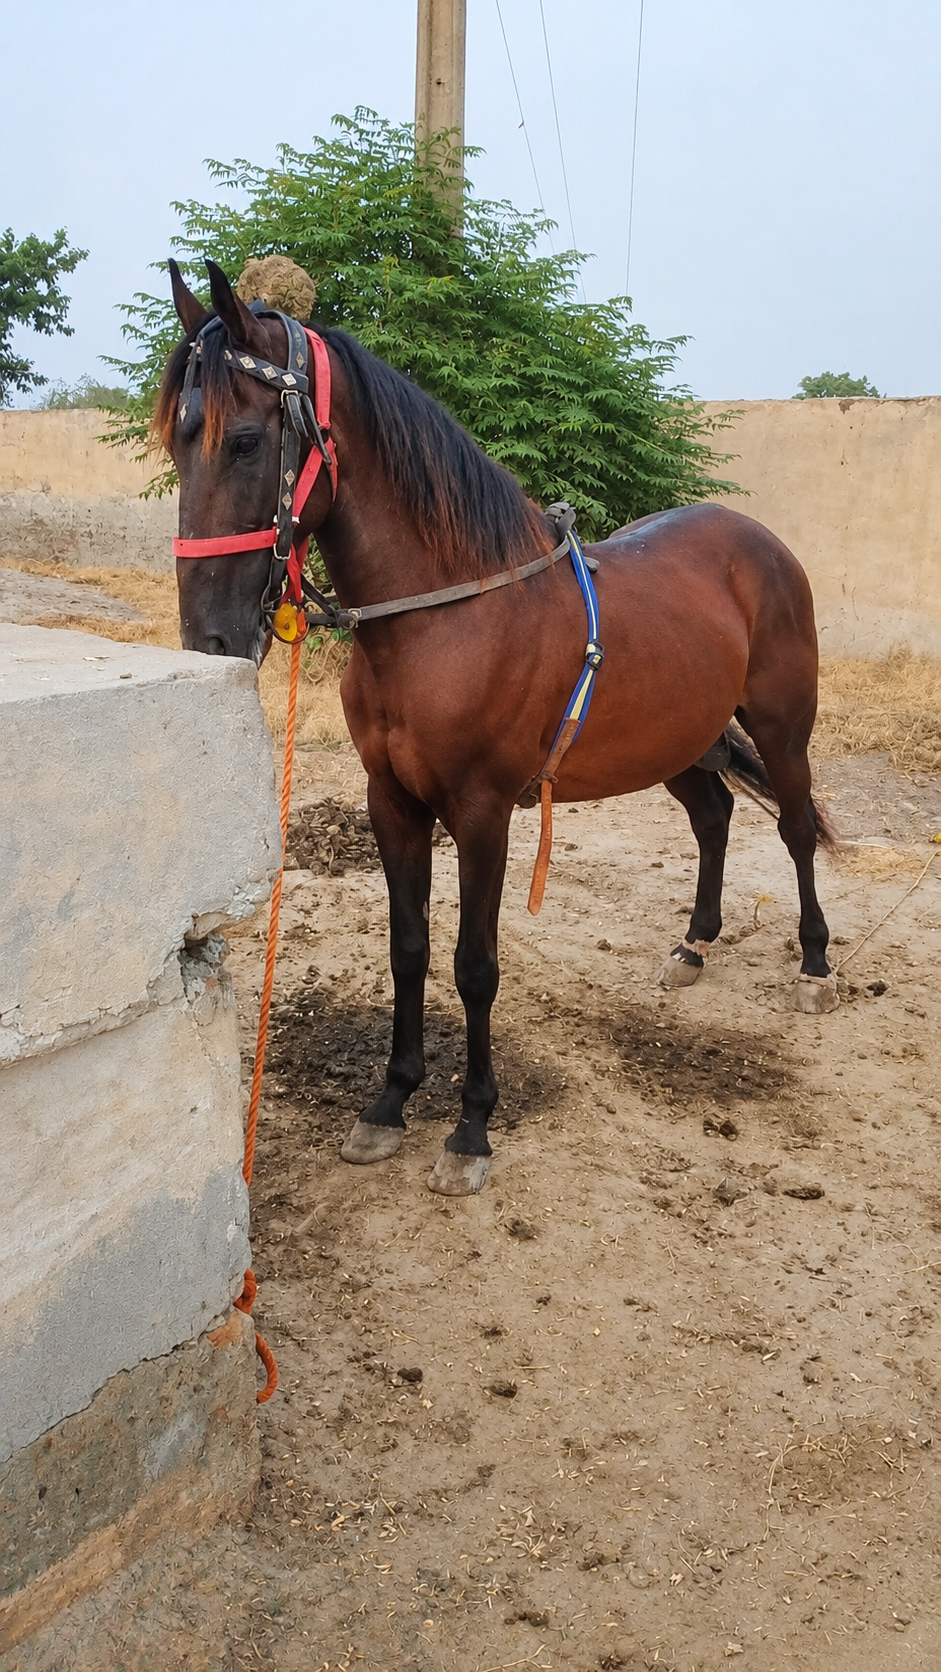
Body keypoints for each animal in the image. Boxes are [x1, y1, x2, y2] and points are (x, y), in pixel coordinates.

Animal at [160, 259, 838, 1197]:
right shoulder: (392, 804)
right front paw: (389, 1103)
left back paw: (813, 965)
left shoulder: (481, 813)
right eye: (178, 438)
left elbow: (473, 967)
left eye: (247, 441)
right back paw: (693, 947)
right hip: (679, 738)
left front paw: (470, 1128)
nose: (212, 642)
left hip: (780, 725)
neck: (445, 619)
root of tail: (758, 541)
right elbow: (408, 950)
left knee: (797, 827)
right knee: (714, 818)